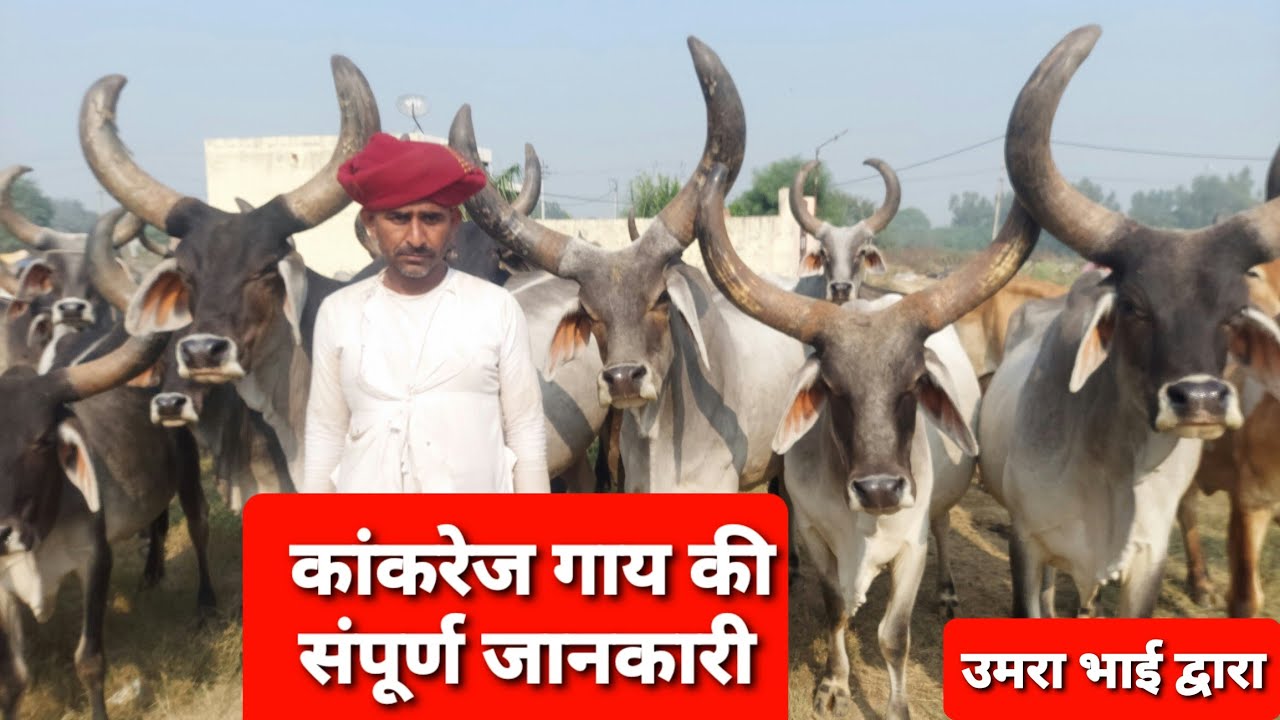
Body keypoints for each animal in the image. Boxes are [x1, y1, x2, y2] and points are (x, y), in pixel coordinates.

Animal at [977, 25, 1280, 618]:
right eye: (1136, 305)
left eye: (1233, 311)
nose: (1201, 400)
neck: (1110, 468)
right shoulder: (1027, 541)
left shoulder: (1148, 557)